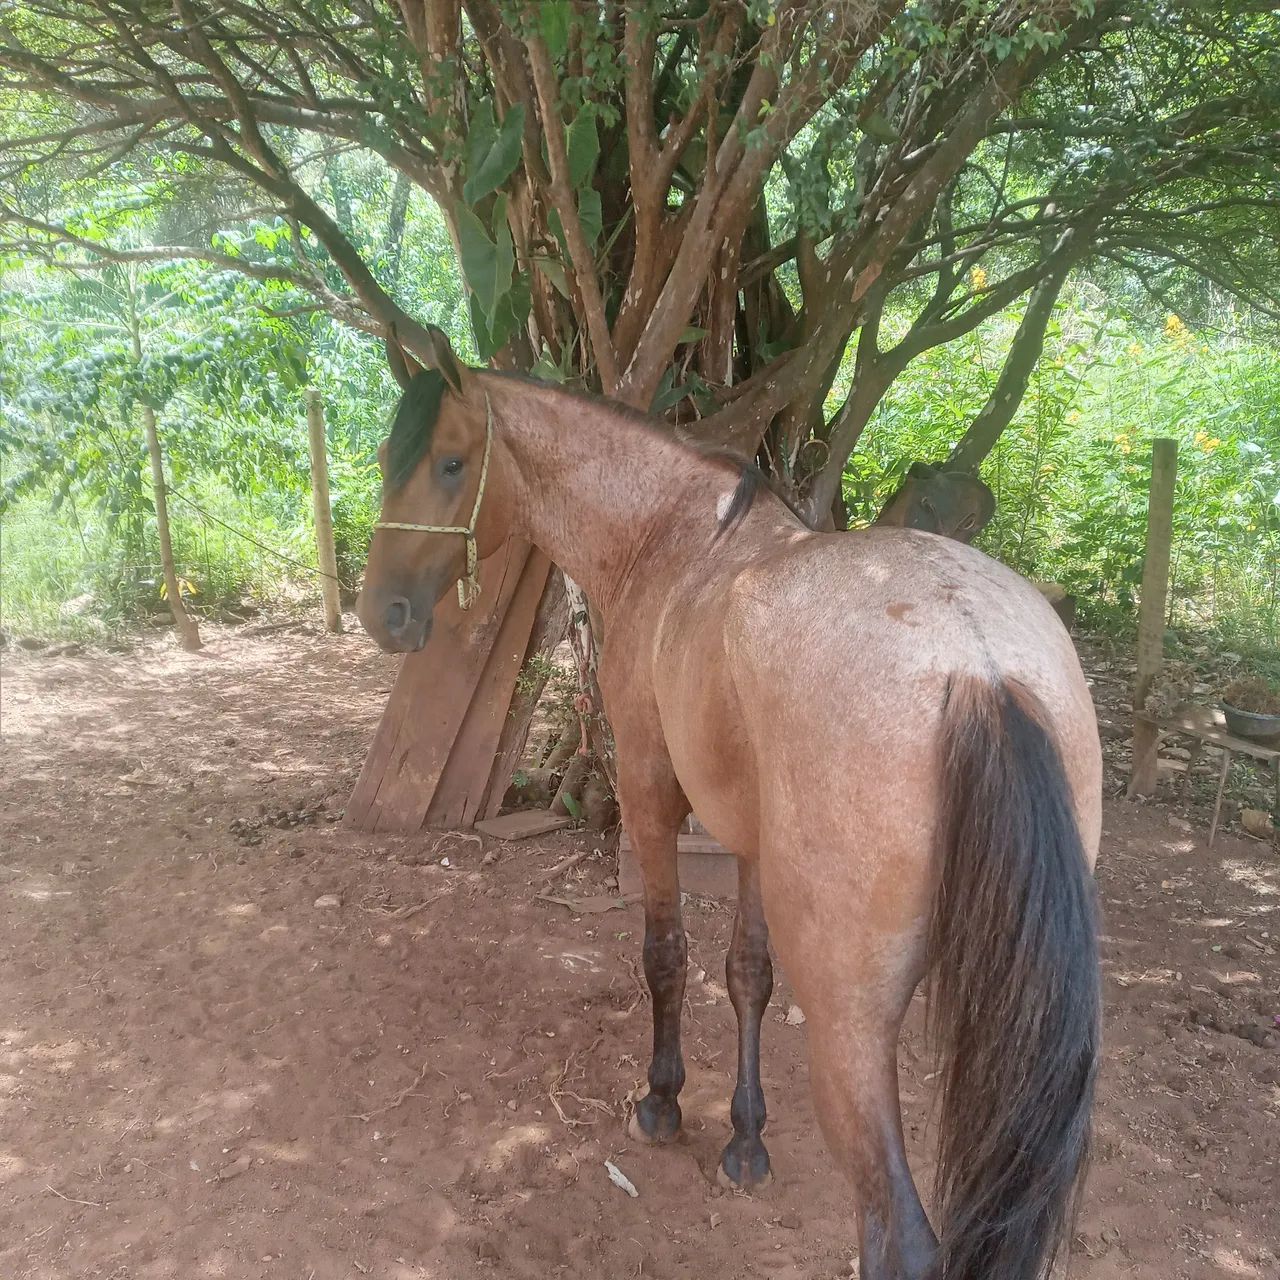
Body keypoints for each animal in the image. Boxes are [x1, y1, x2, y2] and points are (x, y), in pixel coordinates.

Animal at [356, 329, 1102, 1280]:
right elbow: (747, 972)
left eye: (451, 463)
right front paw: (746, 1140)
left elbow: (666, 954)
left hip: (852, 1034)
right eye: (391, 458)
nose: (383, 613)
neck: (674, 538)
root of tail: (977, 665)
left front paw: (664, 1101)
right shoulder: (746, 840)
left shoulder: (648, 791)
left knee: (897, 1234)